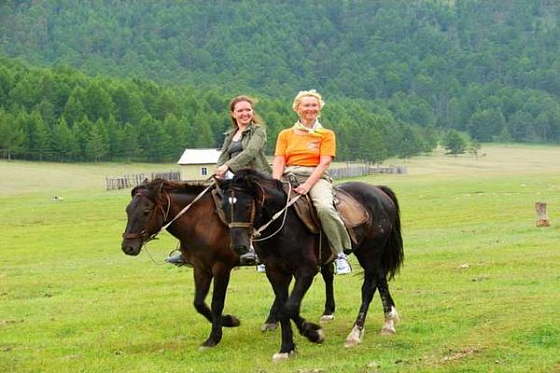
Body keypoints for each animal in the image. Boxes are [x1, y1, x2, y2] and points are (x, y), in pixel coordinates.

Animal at [120, 179, 334, 348]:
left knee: (327, 274)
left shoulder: (221, 268)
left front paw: (215, 336)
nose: (127, 247)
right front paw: (229, 321)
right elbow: (199, 303)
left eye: (146, 211)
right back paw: (272, 320)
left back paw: (327, 311)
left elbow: (216, 302)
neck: (199, 222)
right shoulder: (201, 268)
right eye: (128, 210)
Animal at [219, 169, 402, 360]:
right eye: (222, 207)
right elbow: (284, 307)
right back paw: (389, 321)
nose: (239, 246)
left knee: (369, 287)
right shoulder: (275, 272)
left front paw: (314, 333)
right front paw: (286, 348)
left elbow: (290, 307)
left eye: (247, 206)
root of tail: (378, 191)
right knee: (380, 278)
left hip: (371, 252)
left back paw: (355, 333)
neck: (284, 224)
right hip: (368, 253)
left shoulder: (306, 271)